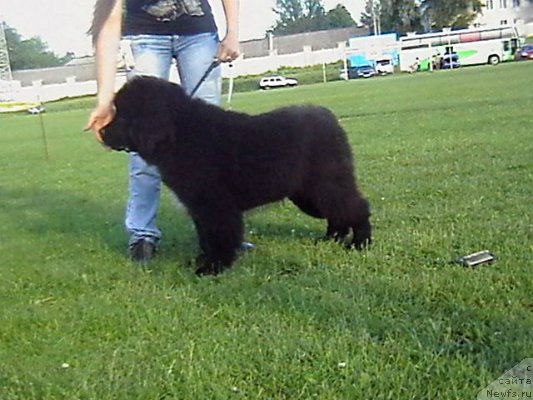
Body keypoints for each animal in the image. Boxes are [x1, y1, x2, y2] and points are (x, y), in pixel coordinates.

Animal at [102, 76, 372, 274]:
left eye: (122, 113)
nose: (102, 132)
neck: (178, 133)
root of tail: (331, 119)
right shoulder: (199, 206)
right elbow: (205, 236)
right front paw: (200, 260)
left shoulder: (215, 204)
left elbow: (219, 236)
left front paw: (213, 268)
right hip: (309, 193)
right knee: (338, 213)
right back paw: (331, 239)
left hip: (325, 184)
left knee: (355, 207)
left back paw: (360, 243)